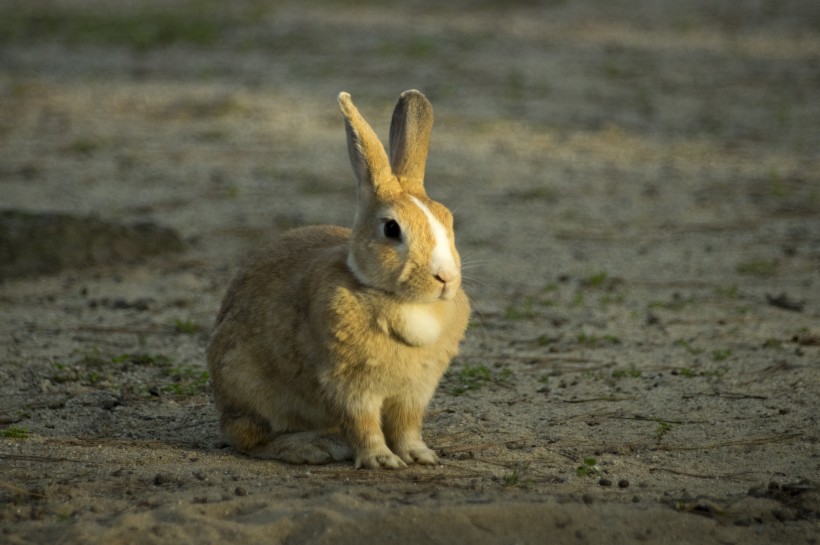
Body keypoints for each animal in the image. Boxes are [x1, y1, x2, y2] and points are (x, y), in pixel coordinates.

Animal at [208, 89, 470, 468]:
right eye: (392, 229)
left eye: (448, 219)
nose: (446, 277)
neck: (401, 301)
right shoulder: (350, 386)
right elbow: (364, 425)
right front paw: (382, 460)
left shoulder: (414, 392)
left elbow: (407, 427)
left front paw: (421, 455)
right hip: (248, 385)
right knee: (247, 436)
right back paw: (314, 447)